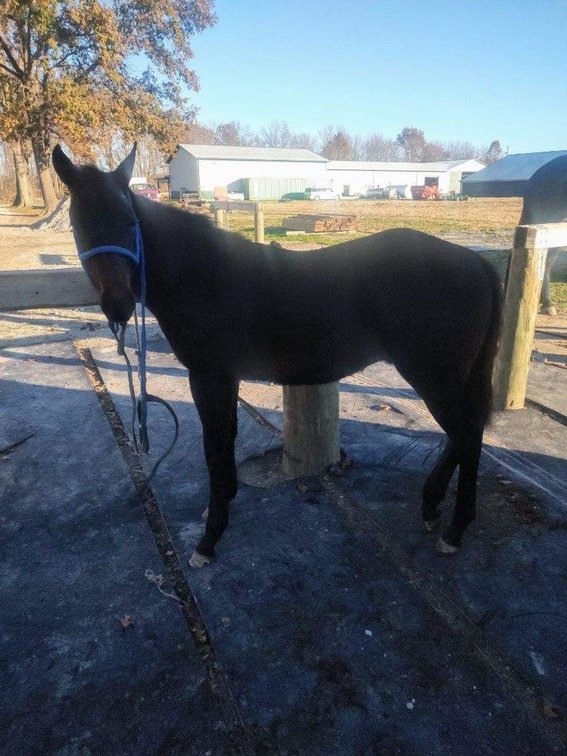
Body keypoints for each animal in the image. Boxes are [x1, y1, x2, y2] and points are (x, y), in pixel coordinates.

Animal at [53, 144, 502, 566]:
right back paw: (430, 505)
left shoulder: (209, 377)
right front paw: (221, 506)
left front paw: (209, 539)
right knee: (462, 435)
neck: (204, 276)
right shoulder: (224, 378)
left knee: (466, 435)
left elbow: (214, 448)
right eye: (78, 226)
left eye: (130, 222)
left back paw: (454, 530)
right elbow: (226, 441)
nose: (118, 305)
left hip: (434, 375)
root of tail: (477, 262)